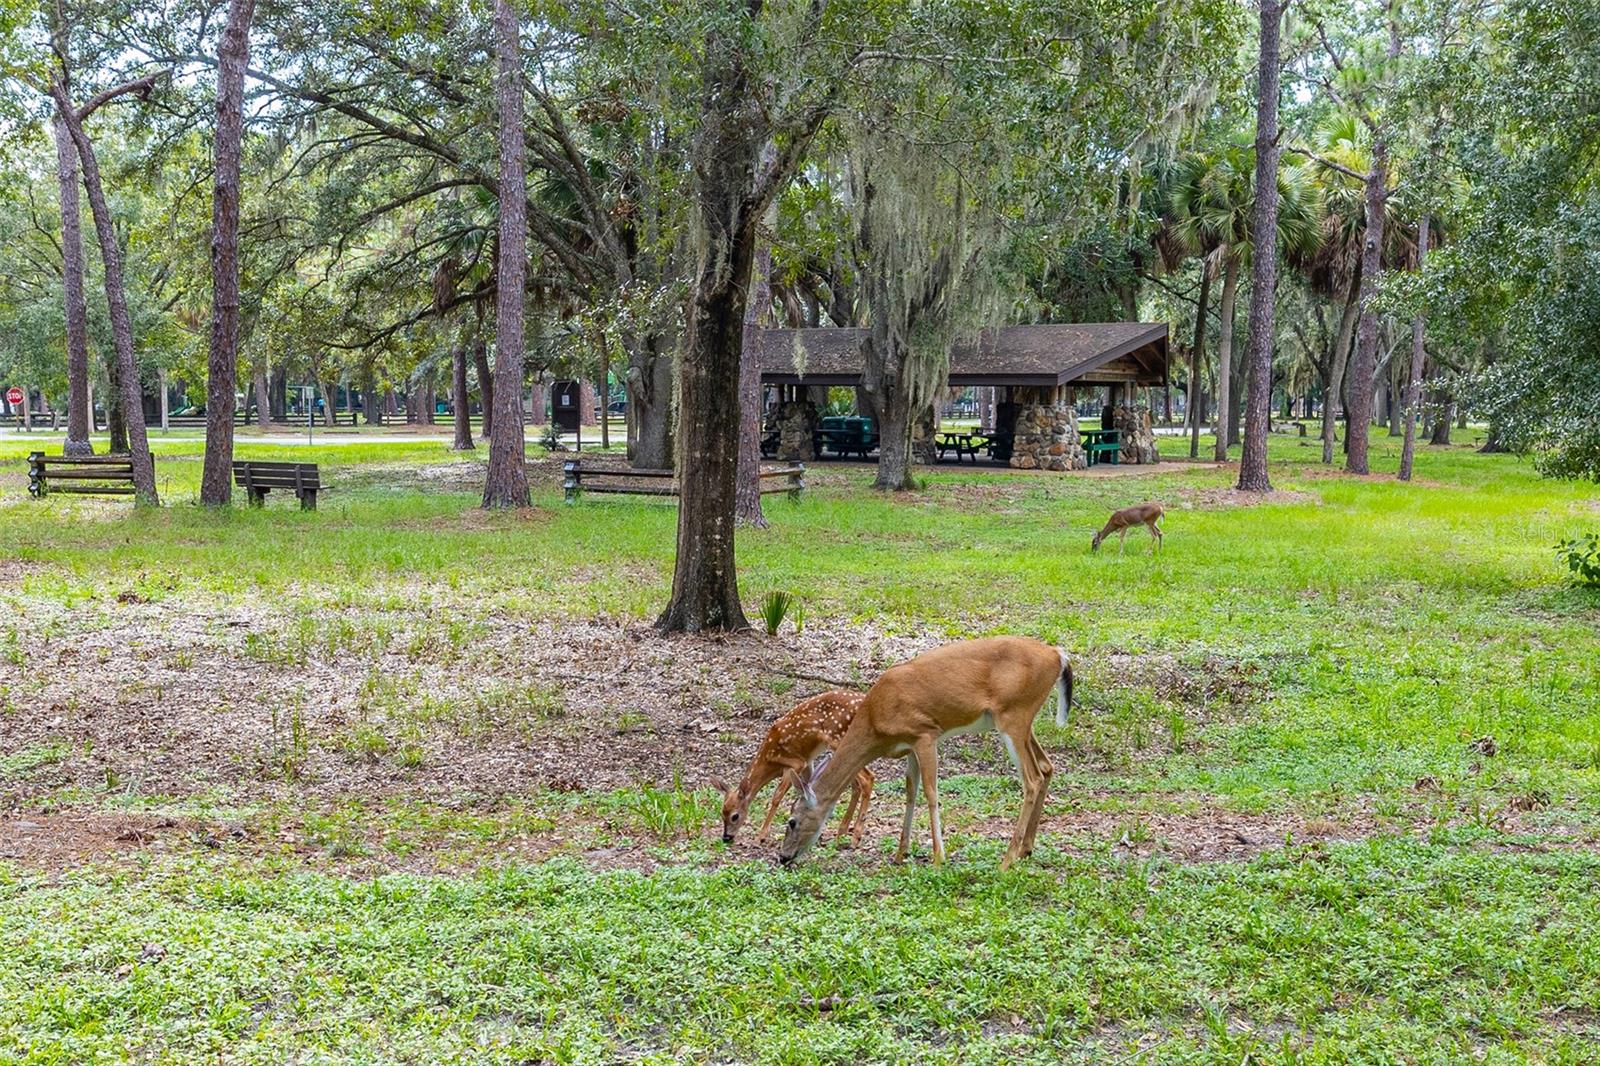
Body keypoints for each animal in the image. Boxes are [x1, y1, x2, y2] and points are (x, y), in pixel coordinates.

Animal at [713, 688, 876, 845]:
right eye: (722, 813)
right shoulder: (807, 763)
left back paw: (856, 837)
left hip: (838, 738)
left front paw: (761, 837)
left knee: (867, 777)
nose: (726, 837)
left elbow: (776, 797)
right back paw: (841, 832)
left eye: (735, 816)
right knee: (856, 783)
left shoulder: (795, 763)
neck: (769, 760)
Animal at [777, 633, 1075, 870]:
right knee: (1047, 767)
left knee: (1032, 779)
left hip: (1014, 714)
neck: (875, 721)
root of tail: (1057, 654)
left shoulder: (926, 733)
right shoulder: (909, 745)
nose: (783, 857)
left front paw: (938, 858)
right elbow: (911, 791)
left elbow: (931, 792)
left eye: (791, 821)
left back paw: (1007, 860)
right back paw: (1026, 849)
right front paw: (900, 854)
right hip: (1023, 721)